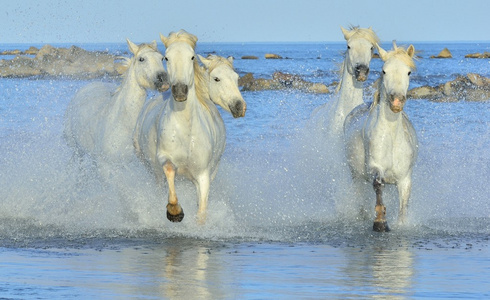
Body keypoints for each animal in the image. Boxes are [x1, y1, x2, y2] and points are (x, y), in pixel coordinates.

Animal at [133, 31, 245, 223]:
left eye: (191, 57)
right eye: (166, 57)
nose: (239, 107)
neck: (186, 130)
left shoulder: (203, 176)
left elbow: (201, 211)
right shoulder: (164, 159)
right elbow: (170, 169)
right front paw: (174, 211)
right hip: (153, 171)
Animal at [344, 41, 418, 231]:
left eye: (408, 72)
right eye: (384, 71)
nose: (397, 101)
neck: (391, 137)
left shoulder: (405, 179)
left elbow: (403, 206)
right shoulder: (375, 168)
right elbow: (378, 185)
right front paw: (380, 222)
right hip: (356, 175)